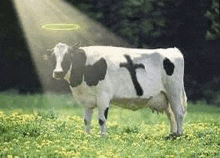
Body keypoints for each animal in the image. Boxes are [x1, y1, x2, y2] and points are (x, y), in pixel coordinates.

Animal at [48, 41, 187, 136]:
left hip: (174, 91)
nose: (57, 72)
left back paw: (179, 135)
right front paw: (88, 136)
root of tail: (173, 49)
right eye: (54, 58)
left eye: (68, 57)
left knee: (179, 113)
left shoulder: (103, 96)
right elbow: (86, 120)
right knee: (171, 115)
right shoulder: (87, 100)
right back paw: (172, 135)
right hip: (164, 96)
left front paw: (103, 137)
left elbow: (102, 119)